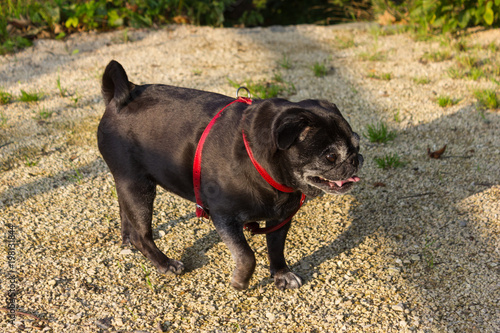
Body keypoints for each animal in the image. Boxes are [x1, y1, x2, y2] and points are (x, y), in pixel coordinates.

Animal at [98, 61, 364, 290]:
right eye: (331, 156)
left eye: (357, 144)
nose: (356, 160)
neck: (257, 163)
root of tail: (121, 97)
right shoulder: (224, 218)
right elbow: (247, 255)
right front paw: (240, 281)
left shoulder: (281, 219)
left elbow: (276, 249)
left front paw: (281, 274)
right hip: (139, 186)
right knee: (143, 234)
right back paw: (164, 263)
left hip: (129, 185)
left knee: (126, 213)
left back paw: (128, 240)